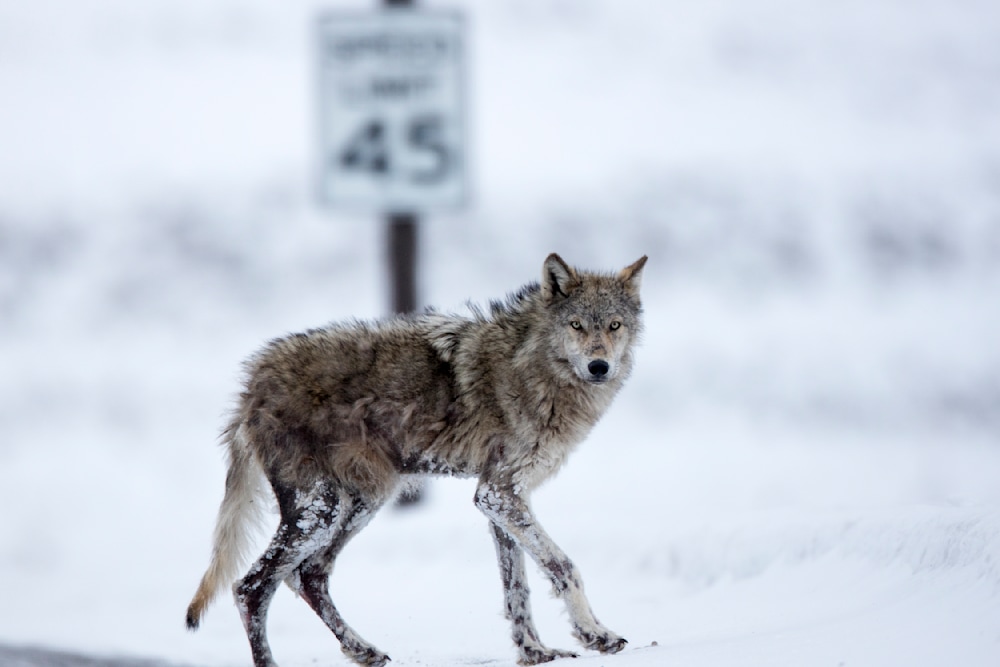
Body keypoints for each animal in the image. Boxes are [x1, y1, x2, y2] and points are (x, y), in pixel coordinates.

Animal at [185, 253, 647, 666]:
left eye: (614, 325)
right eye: (576, 325)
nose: (599, 365)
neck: (533, 368)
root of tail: (252, 383)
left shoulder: (500, 498)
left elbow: (517, 587)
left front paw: (534, 652)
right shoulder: (498, 495)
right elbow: (563, 566)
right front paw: (596, 634)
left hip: (363, 500)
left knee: (308, 575)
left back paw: (363, 650)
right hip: (321, 508)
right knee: (252, 587)